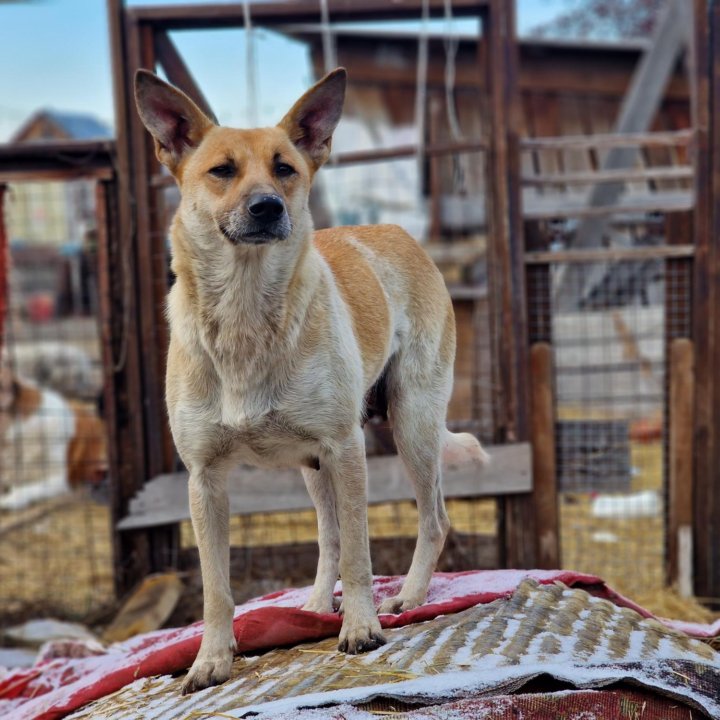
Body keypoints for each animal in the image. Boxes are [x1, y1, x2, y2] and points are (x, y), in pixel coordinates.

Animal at [134, 66, 490, 692]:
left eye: (285, 168)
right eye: (221, 170)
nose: (267, 207)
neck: (248, 315)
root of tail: (399, 231)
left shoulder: (346, 448)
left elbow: (360, 554)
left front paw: (362, 628)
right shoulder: (205, 479)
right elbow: (217, 586)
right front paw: (211, 659)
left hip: (411, 425)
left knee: (432, 519)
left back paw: (408, 597)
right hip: (314, 465)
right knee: (328, 534)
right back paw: (319, 605)